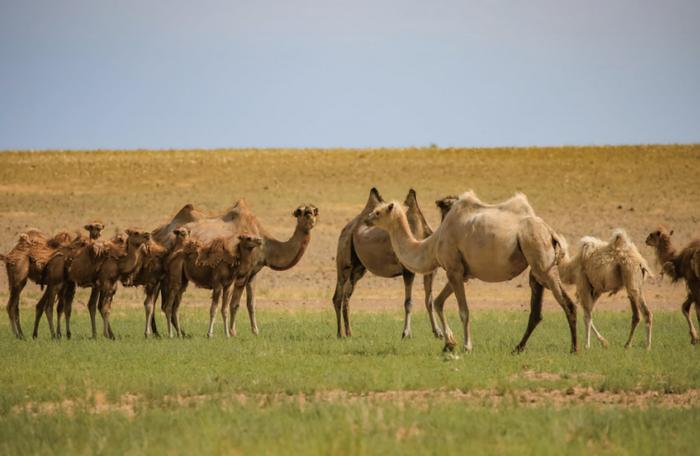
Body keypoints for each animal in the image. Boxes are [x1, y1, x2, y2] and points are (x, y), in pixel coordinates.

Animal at [332, 188, 438, 338]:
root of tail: (346, 228)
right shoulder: (407, 271)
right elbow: (408, 303)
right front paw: (406, 333)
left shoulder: (430, 271)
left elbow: (429, 301)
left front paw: (438, 332)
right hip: (344, 261)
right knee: (338, 297)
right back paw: (339, 334)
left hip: (358, 269)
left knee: (346, 296)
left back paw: (349, 333)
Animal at [364, 191, 576, 354]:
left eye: (378, 211)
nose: (366, 219)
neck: (432, 244)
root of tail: (550, 231)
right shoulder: (460, 273)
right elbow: (438, 302)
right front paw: (449, 343)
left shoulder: (454, 270)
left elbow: (463, 311)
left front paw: (467, 346)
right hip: (537, 265)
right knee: (536, 311)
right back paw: (518, 347)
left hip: (540, 257)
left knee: (568, 303)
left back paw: (574, 348)